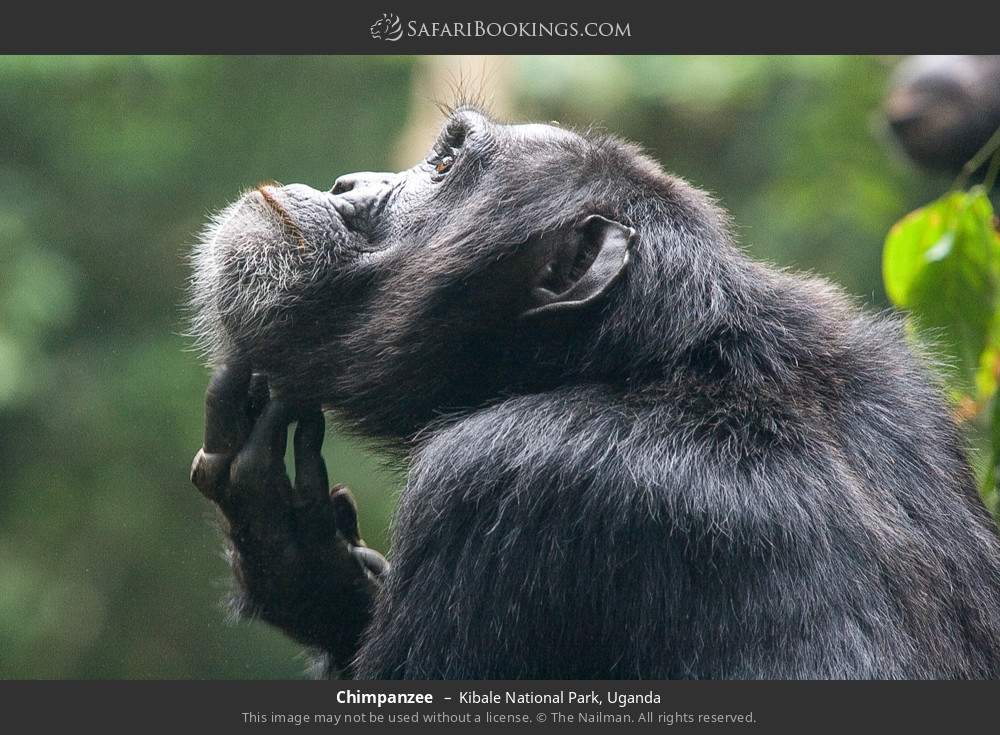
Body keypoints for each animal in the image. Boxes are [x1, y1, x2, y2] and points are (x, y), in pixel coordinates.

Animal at [189, 107, 1000, 679]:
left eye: (445, 163)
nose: (349, 184)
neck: (644, 363)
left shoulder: (502, 477)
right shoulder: (899, 385)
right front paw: (303, 555)